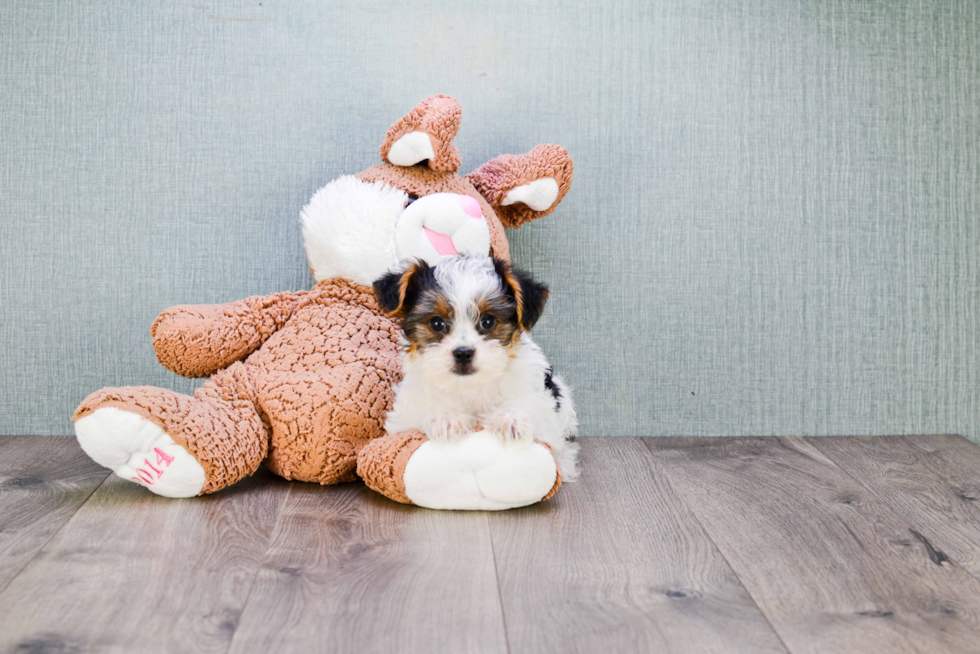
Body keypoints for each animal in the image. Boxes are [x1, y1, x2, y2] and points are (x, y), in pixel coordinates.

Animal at [372, 258, 580, 482]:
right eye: (436, 323)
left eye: (487, 321)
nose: (463, 353)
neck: (469, 386)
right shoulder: (406, 416)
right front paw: (446, 418)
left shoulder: (543, 407)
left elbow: (530, 405)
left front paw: (512, 418)